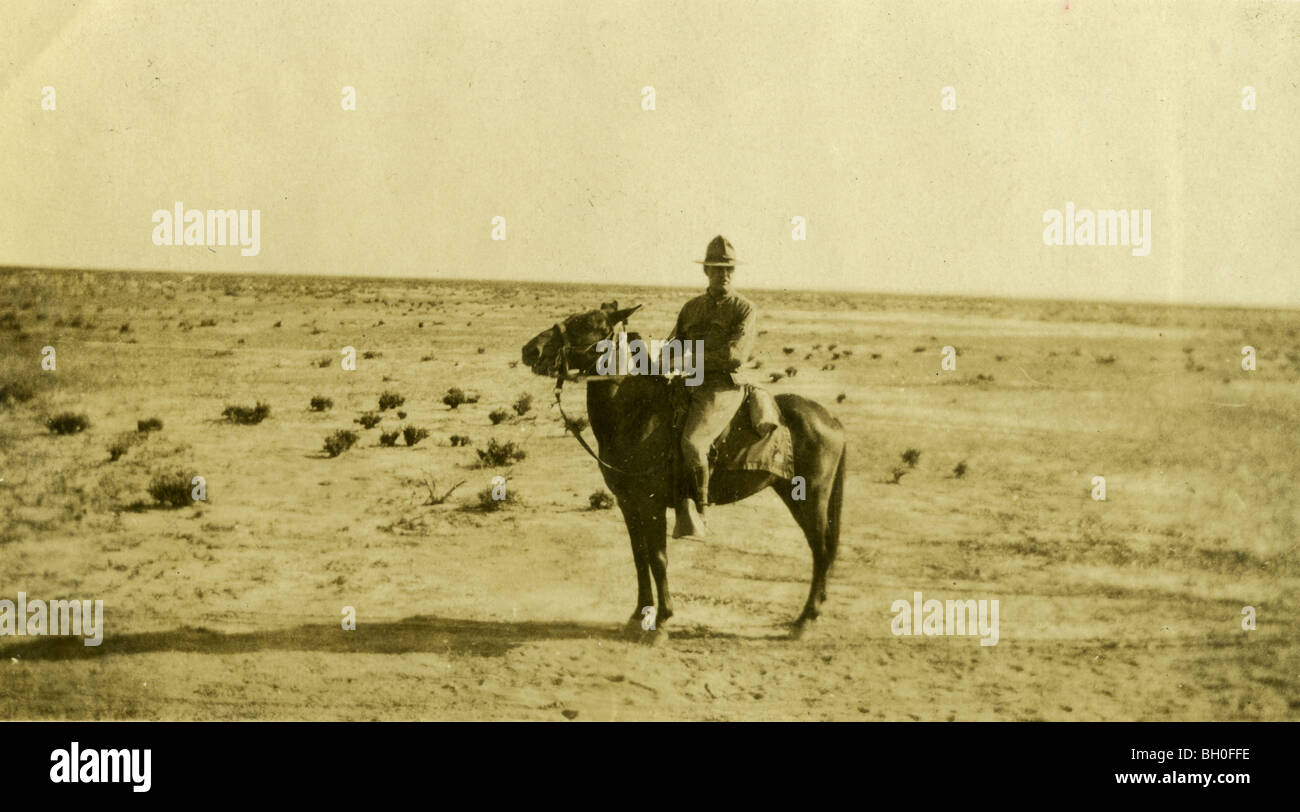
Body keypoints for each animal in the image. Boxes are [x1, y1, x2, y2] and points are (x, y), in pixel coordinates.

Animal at [522, 301, 847, 636]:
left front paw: (663, 619)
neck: (637, 414)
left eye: (586, 324)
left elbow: (658, 558)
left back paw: (805, 619)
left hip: (809, 499)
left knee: (821, 550)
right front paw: (639, 614)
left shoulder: (650, 504)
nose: (530, 350)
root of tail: (830, 419)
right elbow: (639, 556)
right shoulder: (628, 503)